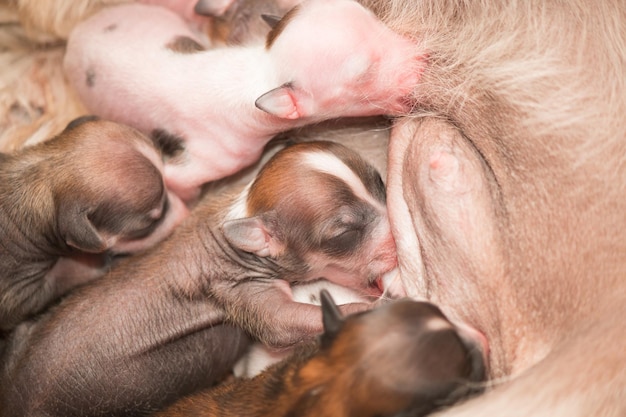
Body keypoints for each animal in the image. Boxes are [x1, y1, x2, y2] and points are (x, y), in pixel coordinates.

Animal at [1, 141, 394, 416]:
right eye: (344, 234)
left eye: (381, 183)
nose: (396, 238)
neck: (239, 219)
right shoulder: (237, 287)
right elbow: (280, 324)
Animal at [63, 0, 422, 202]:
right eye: (363, 74)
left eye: (376, 19)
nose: (423, 58)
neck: (260, 71)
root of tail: (75, 33)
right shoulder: (209, 156)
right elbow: (177, 182)